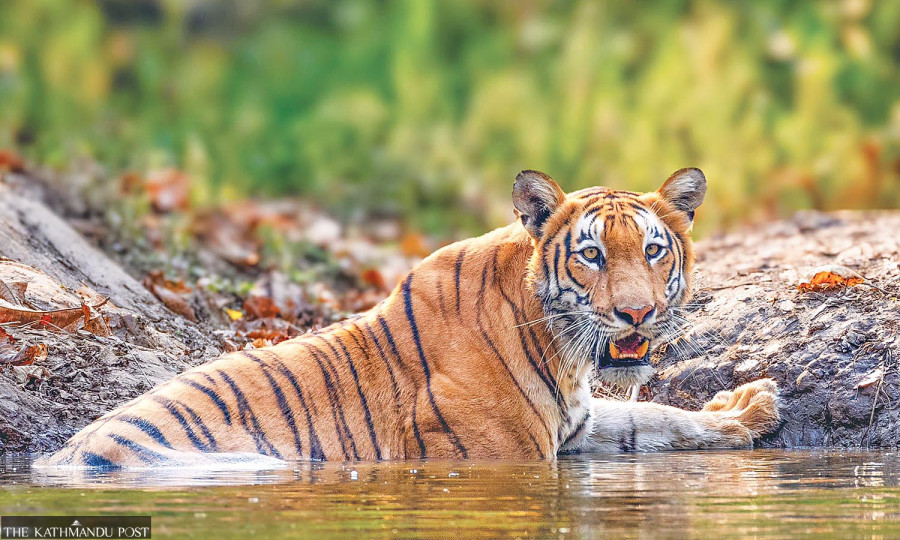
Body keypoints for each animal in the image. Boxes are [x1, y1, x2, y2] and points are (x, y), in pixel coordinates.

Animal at [39, 168, 780, 467]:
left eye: (652, 250)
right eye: (592, 256)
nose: (637, 312)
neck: (556, 346)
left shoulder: (577, 426)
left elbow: (652, 417)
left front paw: (747, 410)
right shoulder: (507, 456)